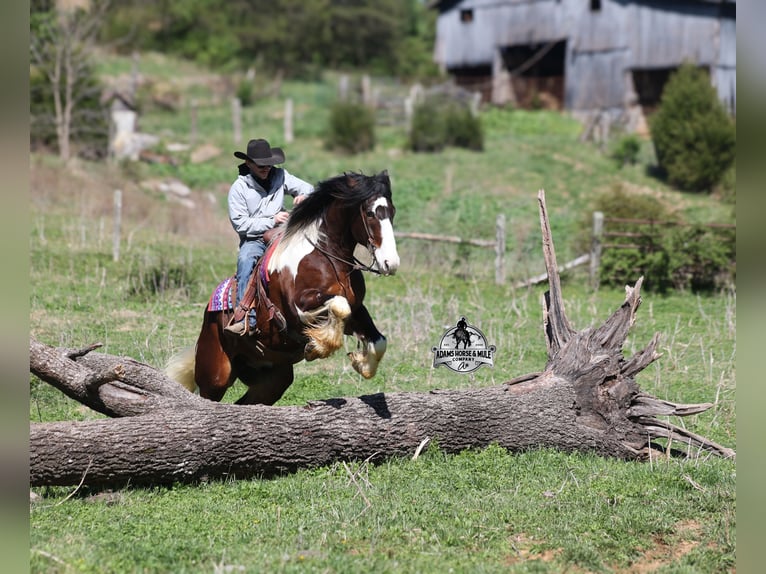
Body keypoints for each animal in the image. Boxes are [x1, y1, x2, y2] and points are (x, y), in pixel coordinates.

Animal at [166, 171, 399, 405]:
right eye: (370, 213)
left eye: (392, 212)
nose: (391, 263)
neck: (325, 256)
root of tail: (209, 314)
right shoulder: (299, 306)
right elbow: (338, 305)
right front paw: (318, 346)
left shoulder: (357, 310)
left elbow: (378, 340)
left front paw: (361, 363)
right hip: (215, 376)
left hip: (273, 381)